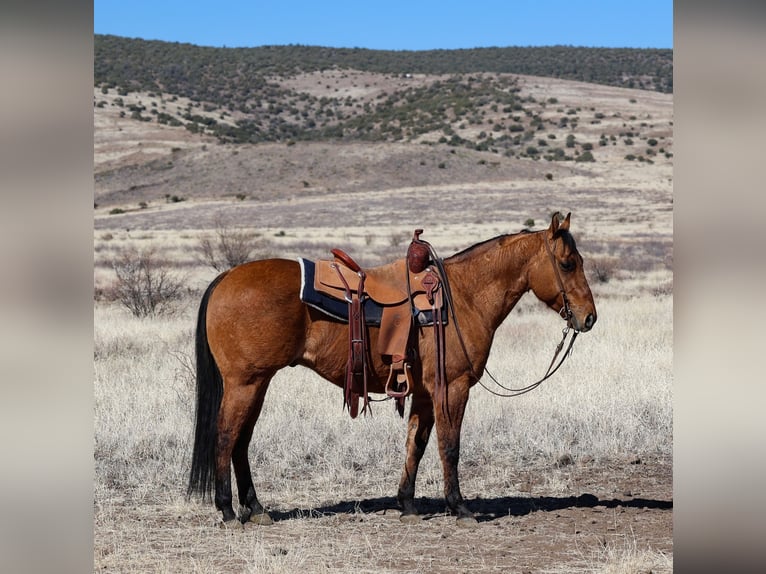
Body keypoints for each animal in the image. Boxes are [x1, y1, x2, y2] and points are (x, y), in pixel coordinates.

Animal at [189, 212, 596, 528]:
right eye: (567, 263)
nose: (589, 317)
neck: (463, 296)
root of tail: (224, 278)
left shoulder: (425, 392)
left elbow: (416, 443)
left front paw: (408, 504)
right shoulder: (452, 387)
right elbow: (450, 446)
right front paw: (459, 507)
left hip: (257, 384)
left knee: (241, 441)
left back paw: (256, 508)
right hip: (245, 383)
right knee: (225, 437)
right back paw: (228, 511)